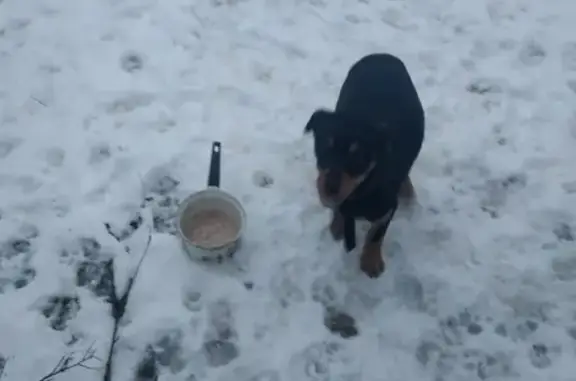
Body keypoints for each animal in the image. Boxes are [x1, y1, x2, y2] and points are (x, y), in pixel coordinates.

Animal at [306, 52, 424, 278]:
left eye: (358, 156)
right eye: (324, 147)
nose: (330, 189)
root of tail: (383, 55)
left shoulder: (387, 207)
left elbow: (376, 234)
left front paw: (371, 262)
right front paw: (337, 225)